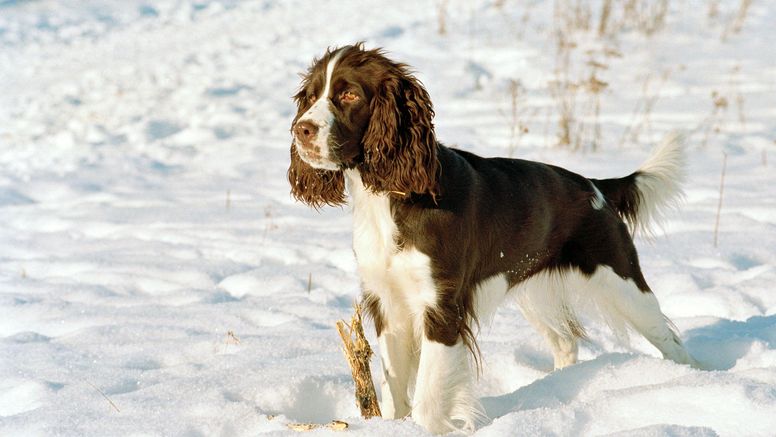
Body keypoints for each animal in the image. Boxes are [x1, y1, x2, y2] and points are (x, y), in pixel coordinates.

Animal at [288, 42, 700, 430]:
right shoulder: (388, 304)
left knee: (671, 340)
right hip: (536, 290)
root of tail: (596, 186)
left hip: (621, 281)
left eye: (349, 94)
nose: (301, 130)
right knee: (566, 342)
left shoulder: (441, 308)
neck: (390, 198)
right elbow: (395, 391)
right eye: (311, 95)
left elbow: (428, 397)